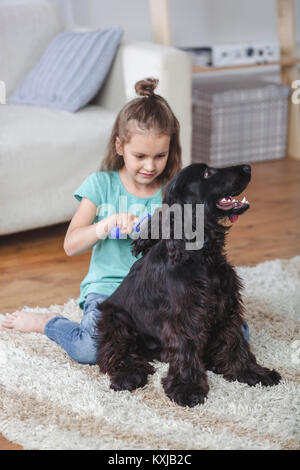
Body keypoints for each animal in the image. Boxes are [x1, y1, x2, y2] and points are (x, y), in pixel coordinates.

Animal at [95, 163, 280, 406]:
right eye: (207, 173)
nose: (247, 167)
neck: (203, 256)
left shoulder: (227, 308)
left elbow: (235, 342)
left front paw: (251, 373)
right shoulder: (185, 316)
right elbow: (186, 349)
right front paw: (187, 387)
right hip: (116, 321)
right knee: (114, 353)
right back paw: (128, 376)